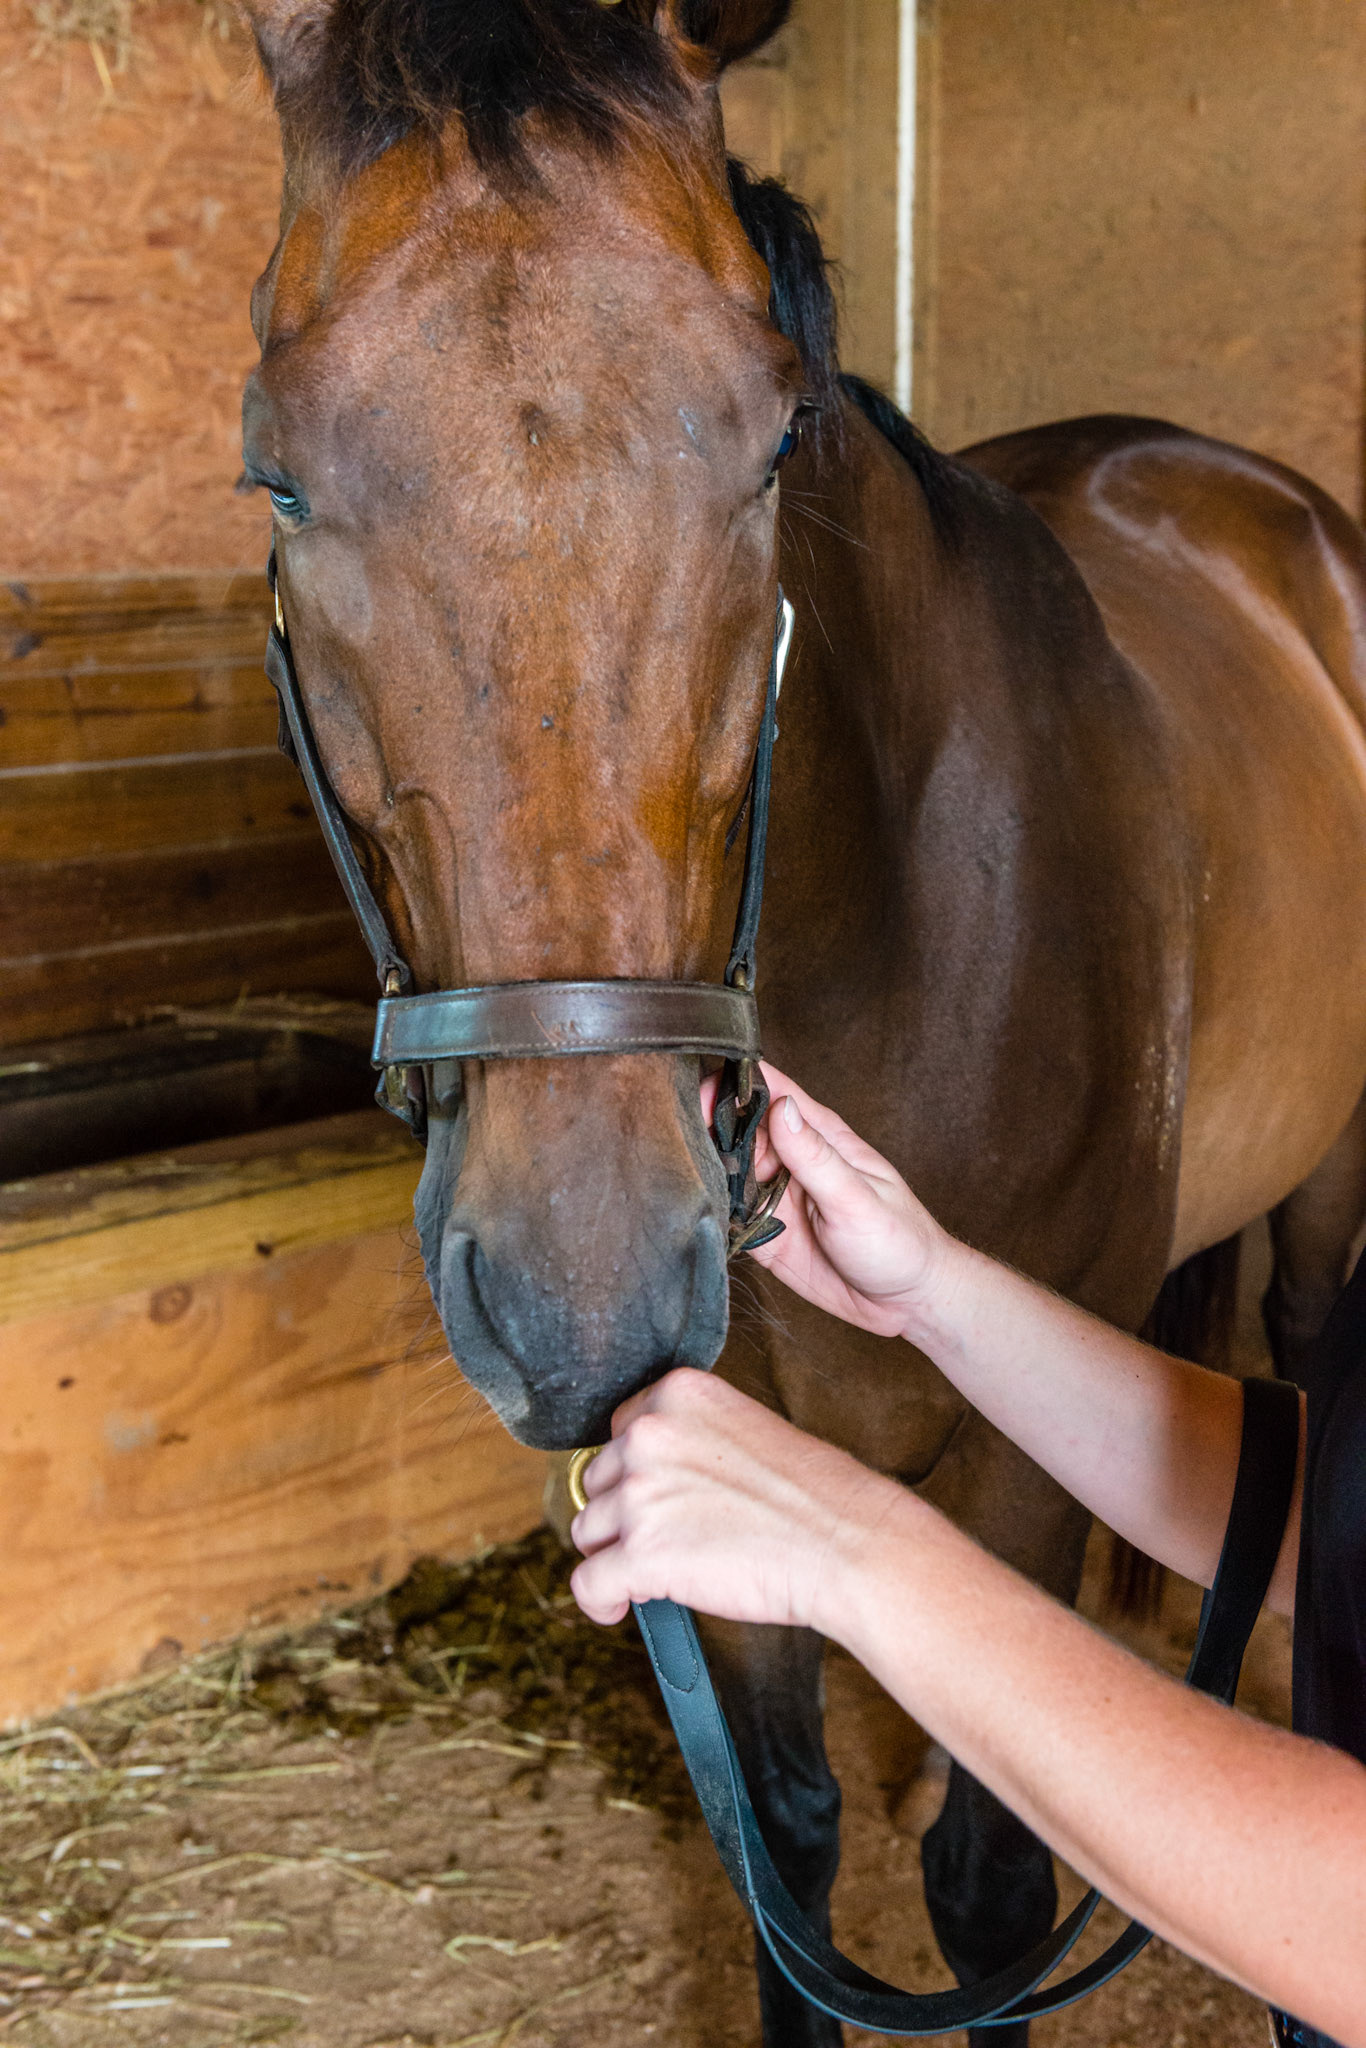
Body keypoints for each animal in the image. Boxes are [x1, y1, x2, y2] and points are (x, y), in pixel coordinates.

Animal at [235, 2, 1366, 2041]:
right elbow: (790, 1858)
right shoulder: (726, 1443)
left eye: (771, 442)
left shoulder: (1006, 1456)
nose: (582, 1290)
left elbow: (988, 1894)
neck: (898, 920)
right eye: (274, 474)